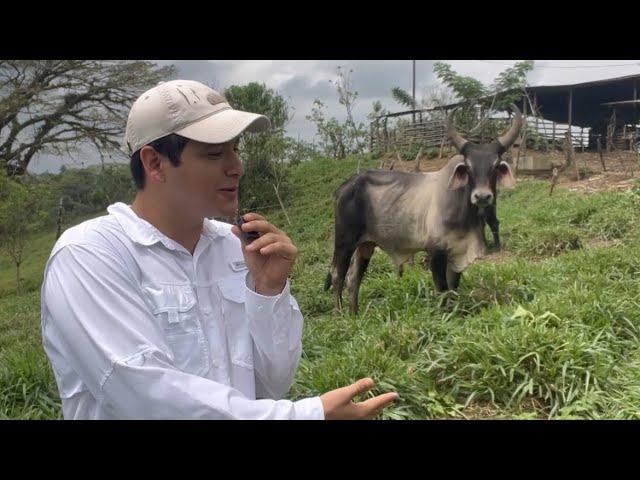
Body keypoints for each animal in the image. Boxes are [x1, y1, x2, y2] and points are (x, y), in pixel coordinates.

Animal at [322, 105, 524, 316]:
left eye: (495, 165)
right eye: (468, 167)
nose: (482, 197)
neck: (465, 214)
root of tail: (345, 186)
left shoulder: (457, 255)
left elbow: (453, 288)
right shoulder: (435, 252)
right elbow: (442, 289)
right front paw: (444, 315)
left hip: (365, 245)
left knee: (354, 277)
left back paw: (354, 314)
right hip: (344, 241)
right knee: (338, 274)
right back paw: (340, 314)